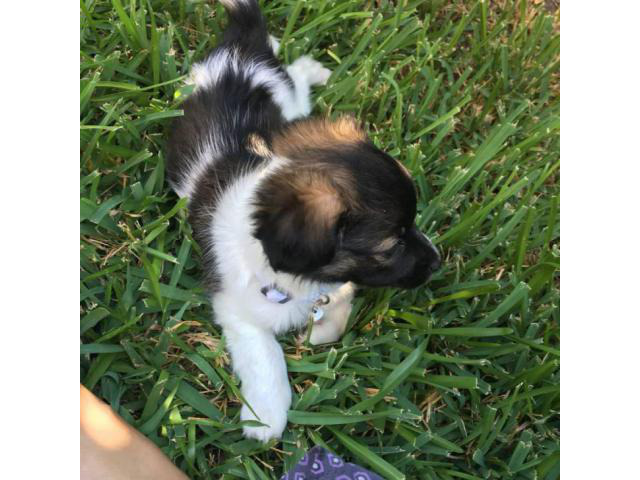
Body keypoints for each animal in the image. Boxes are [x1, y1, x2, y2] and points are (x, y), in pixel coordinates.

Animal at [168, 0, 442, 442]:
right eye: (392, 245)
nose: (437, 261)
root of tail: (242, 48)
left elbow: (339, 307)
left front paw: (319, 332)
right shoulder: (236, 308)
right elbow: (267, 356)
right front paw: (266, 417)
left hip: (291, 102)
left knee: (294, 73)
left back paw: (312, 68)